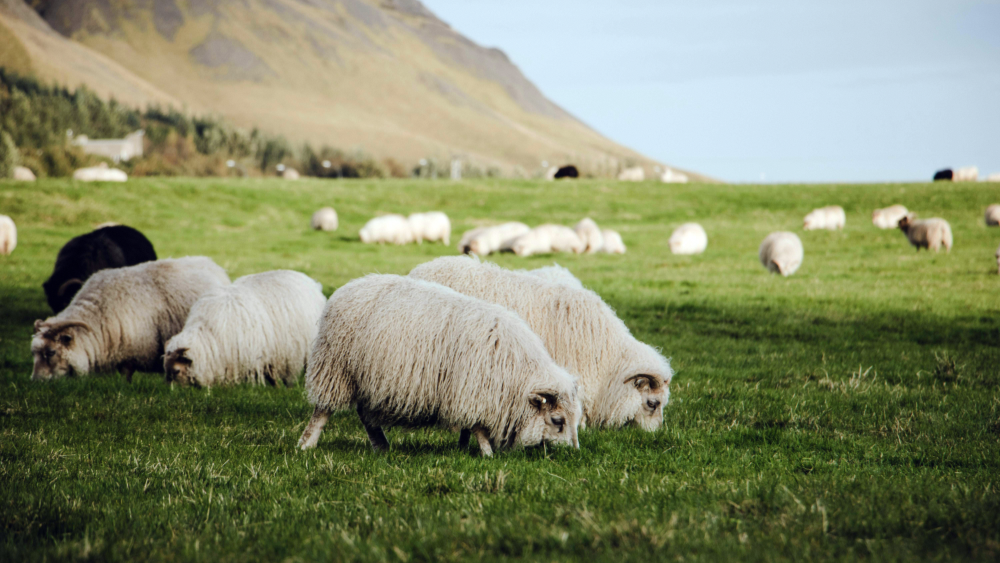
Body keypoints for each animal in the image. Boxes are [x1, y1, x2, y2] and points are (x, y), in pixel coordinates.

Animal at [31, 257, 230, 382]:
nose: (36, 381)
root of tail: (211, 264)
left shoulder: (132, 349)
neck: (98, 315)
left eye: (51, 352)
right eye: (34, 353)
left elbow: (126, 376)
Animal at [297, 274, 581, 456]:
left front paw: (463, 448)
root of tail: (347, 288)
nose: (572, 454)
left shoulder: (468, 394)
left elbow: (468, 426)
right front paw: (487, 453)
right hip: (335, 368)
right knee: (323, 411)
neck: (515, 371)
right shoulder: (472, 390)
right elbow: (478, 427)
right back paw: (306, 444)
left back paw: (382, 447)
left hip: (368, 379)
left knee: (366, 416)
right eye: (557, 420)